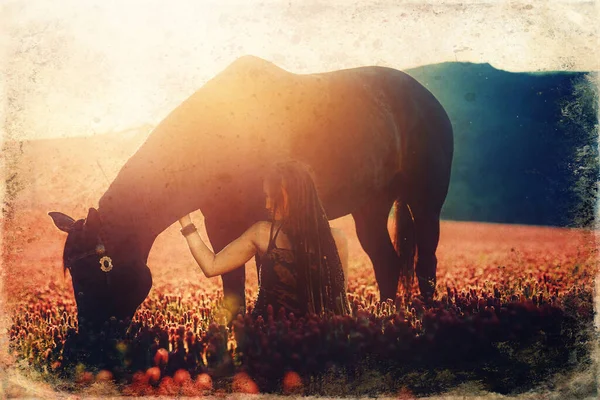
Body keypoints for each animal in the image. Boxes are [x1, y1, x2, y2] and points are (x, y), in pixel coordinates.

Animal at [50, 55, 454, 338]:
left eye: (97, 271)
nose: (89, 339)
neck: (220, 138)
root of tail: (426, 97)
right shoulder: (221, 224)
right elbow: (233, 285)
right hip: (369, 207)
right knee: (386, 261)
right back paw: (389, 320)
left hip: (425, 202)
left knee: (425, 262)